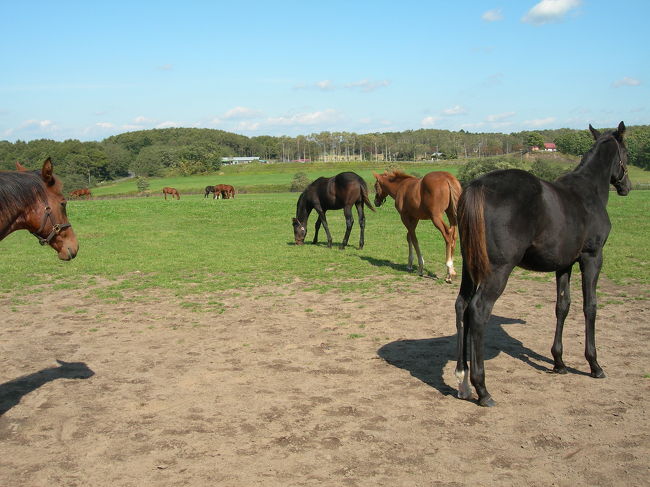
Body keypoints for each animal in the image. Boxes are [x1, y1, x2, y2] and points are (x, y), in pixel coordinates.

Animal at [454, 123, 632, 408]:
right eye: (626, 153)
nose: (626, 186)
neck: (588, 192)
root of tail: (477, 186)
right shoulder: (592, 257)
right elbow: (590, 307)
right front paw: (594, 365)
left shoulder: (563, 264)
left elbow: (562, 306)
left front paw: (559, 362)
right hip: (498, 271)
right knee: (478, 310)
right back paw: (482, 390)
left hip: (469, 266)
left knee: (461, 306)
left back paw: (462, 381)